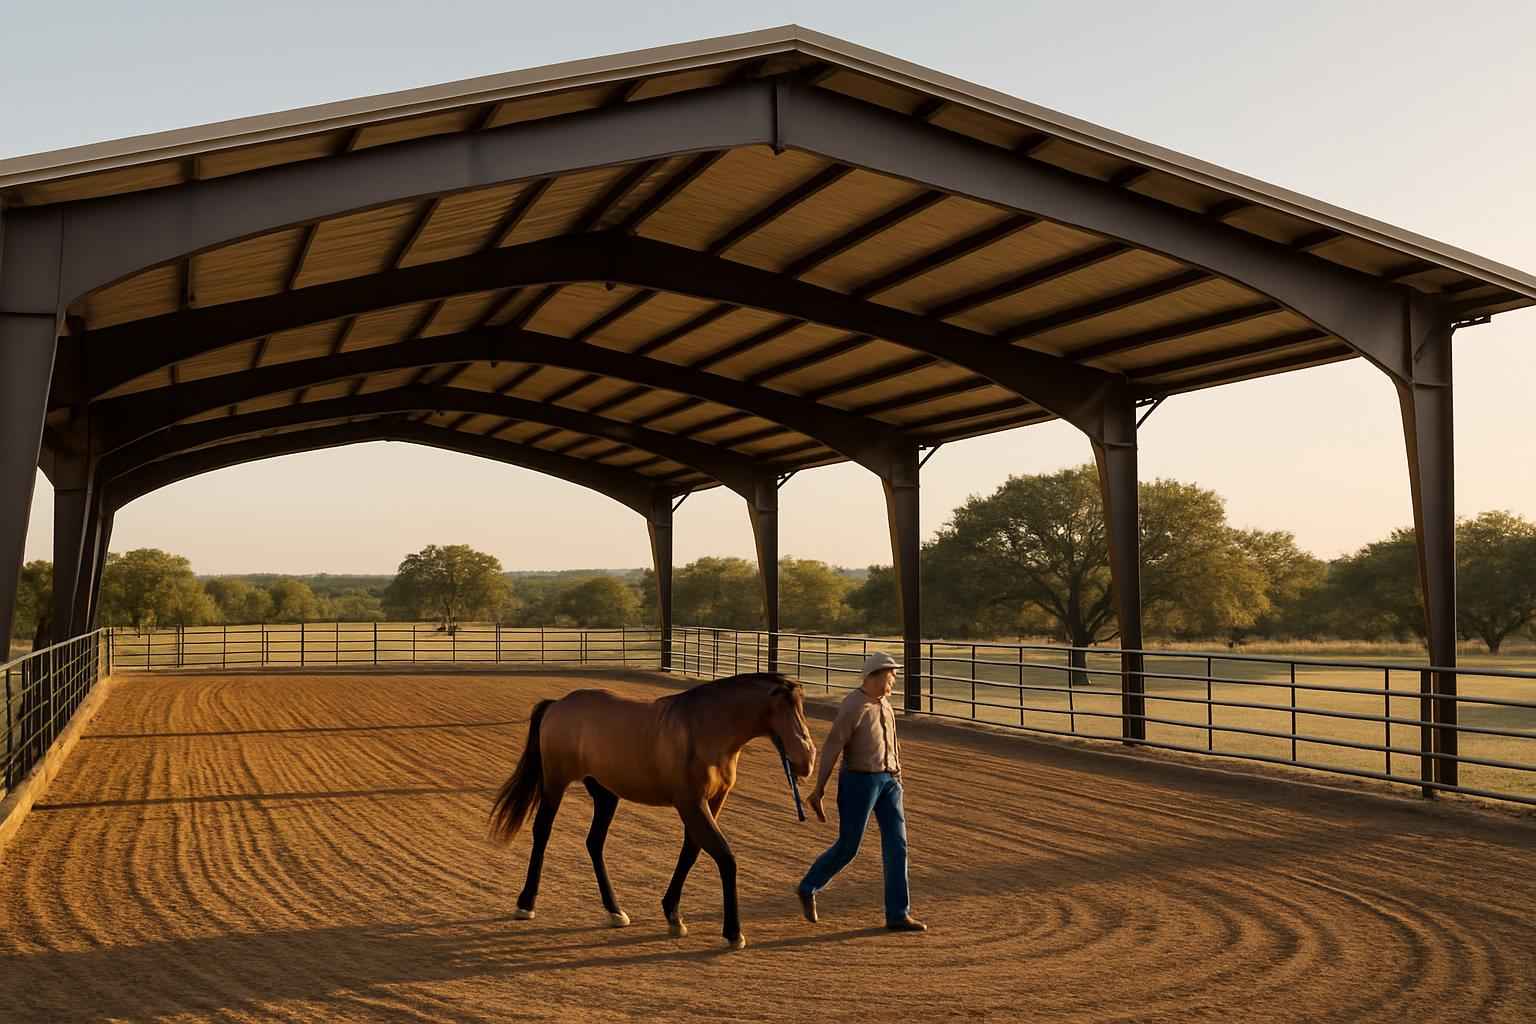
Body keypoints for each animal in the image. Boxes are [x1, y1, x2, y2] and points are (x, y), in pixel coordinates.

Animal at [489, 672, 816, 950]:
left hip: (605, 793)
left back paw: (615, 911)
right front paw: (733, 933)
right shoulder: (691, 804)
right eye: (782, 708)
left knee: (594, 843)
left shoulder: (712, 802)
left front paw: (673, 915)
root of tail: (558, 704)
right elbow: (725, 857)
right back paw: (526, 904)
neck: (704, 729)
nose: (807, 760)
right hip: (556, 783)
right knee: (542, 832)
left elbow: (691, 853)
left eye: (801, 708)